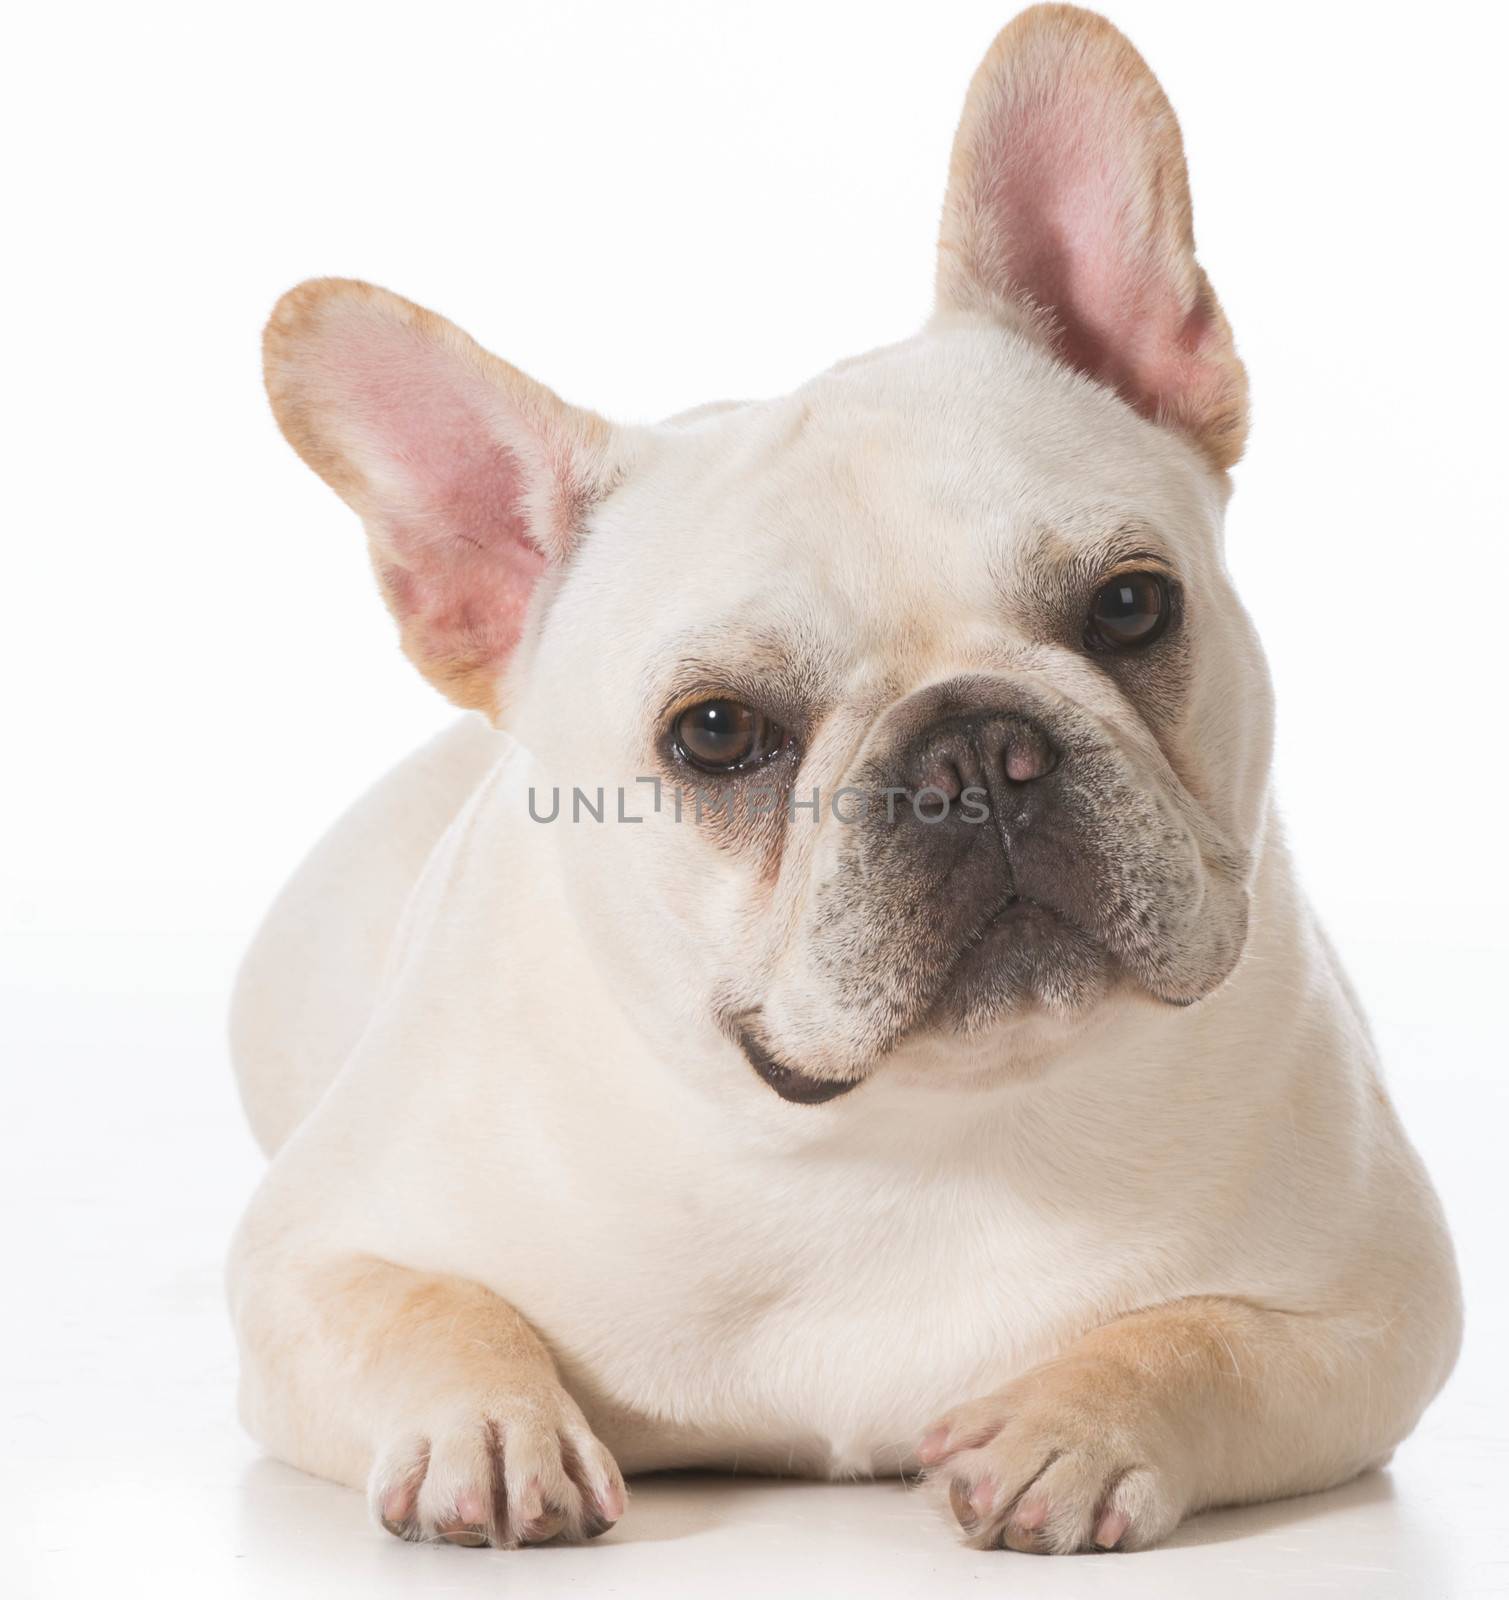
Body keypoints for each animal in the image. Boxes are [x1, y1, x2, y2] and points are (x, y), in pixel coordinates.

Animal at [233, 0, 1465, 1548]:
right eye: (713, 733)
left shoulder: (1375, 1307)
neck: (906, 1140)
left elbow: (1202, 1339)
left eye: (1132, 606)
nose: (975, 752)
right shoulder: (306, 1258)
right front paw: (491, 1427)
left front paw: (1071, 1428)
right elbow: (427, 1309)